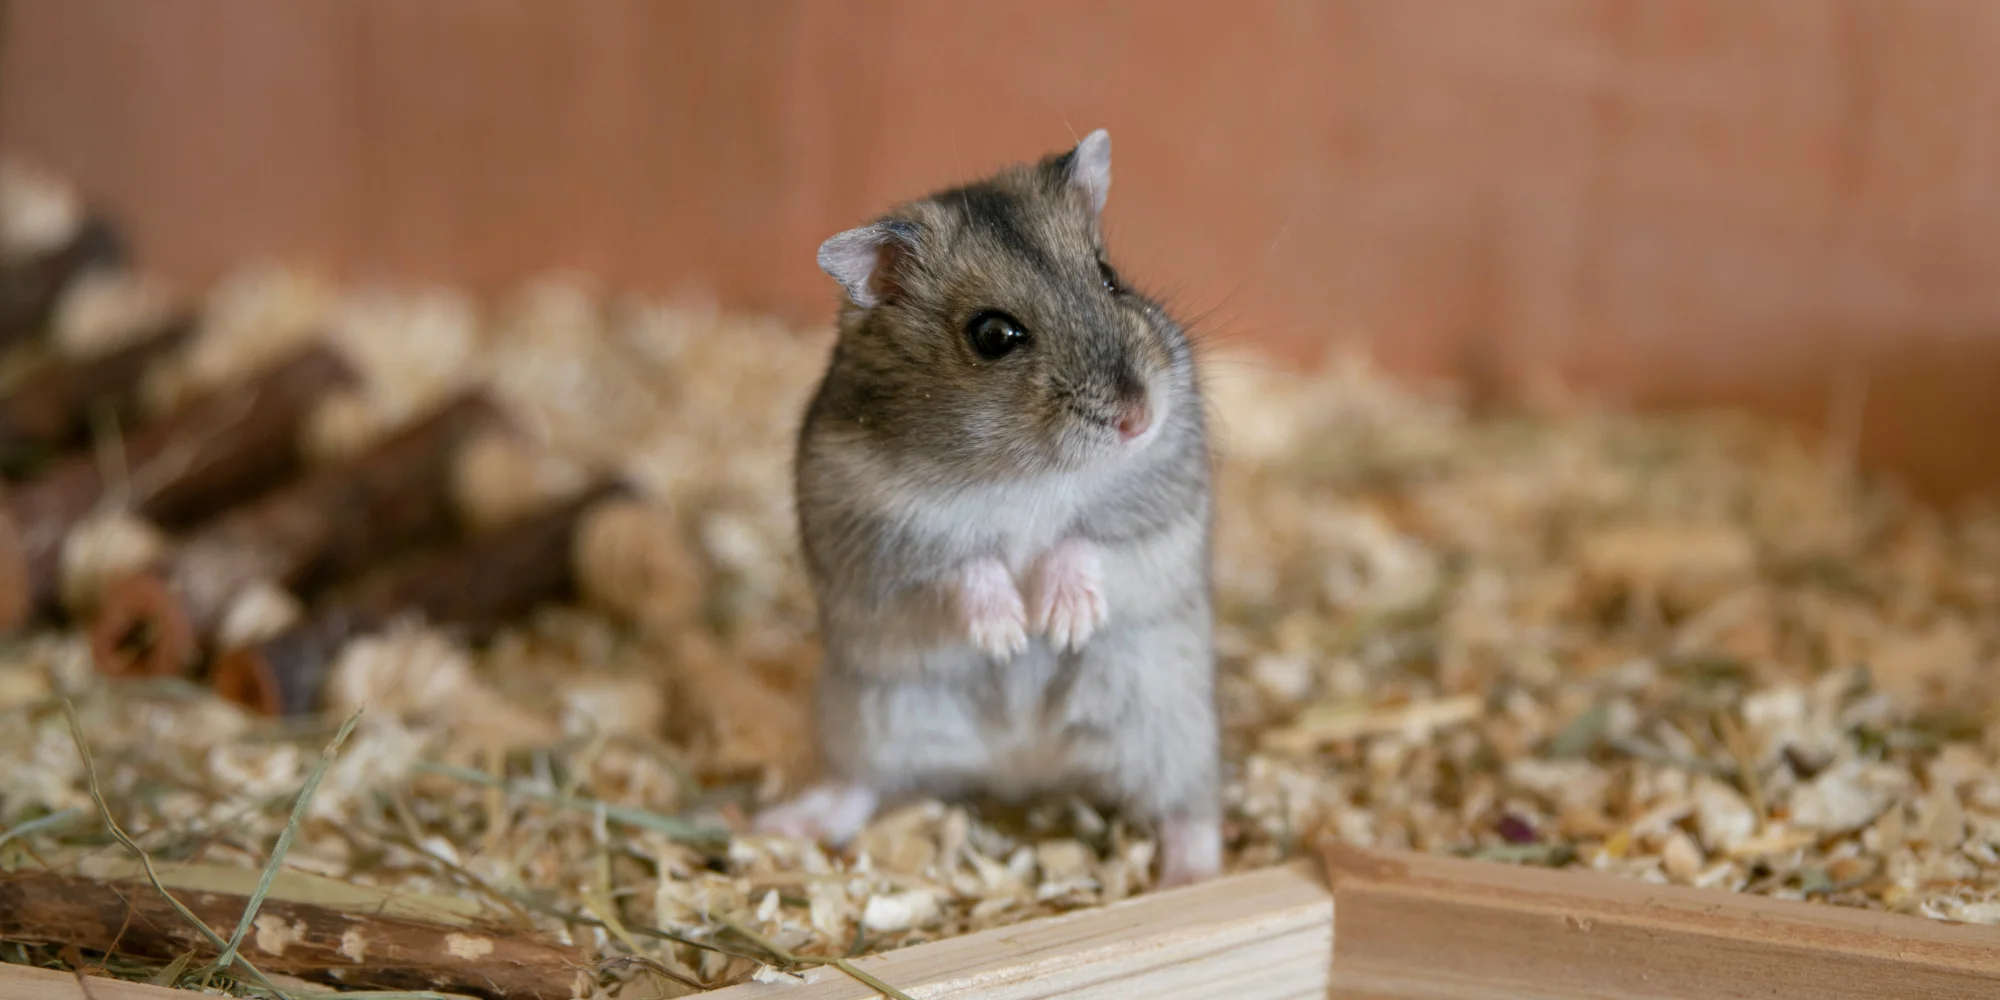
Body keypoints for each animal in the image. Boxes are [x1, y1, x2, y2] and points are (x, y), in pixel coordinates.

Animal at [754, 130, 1222, 888]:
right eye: (994, 335)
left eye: (1109, 275)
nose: (1139, 418)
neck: (1025, 471)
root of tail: (1023, 768)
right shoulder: (877, 536)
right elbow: (962, 564)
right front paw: (1008, 635)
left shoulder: (1161, 505)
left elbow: (1085, 541)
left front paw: (1060, 624)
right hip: (870, 718)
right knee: (859, 785)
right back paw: (779, 824)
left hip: (1171, 721)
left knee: (1191, 808)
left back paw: (1190, 879)